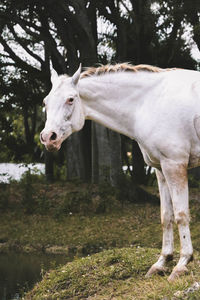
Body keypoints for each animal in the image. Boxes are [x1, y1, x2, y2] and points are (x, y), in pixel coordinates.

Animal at [40, 63, 200, 282]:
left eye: (71, 99)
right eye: (45, 102)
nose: (48, 138)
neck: (149, 102)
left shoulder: (174, 165)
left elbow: (181, 214)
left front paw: (182, 264)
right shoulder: (160, 169)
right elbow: (166, 216)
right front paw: (162, 262)